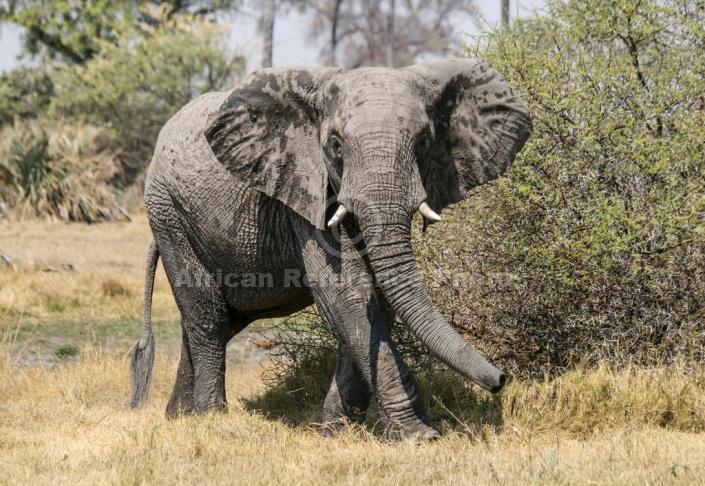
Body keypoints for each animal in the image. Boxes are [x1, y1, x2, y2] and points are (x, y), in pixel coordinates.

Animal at [129, 58, 532, 442]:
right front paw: (420, 437)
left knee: (212, 321)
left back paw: (179, 418)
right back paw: (210, 419)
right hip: (168, 213)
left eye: (423, 143)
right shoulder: (303, 183)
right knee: (208, 318)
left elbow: (377, 299)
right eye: (335, 146)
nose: (501, 379)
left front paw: (338, 433)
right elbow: (347, 293)